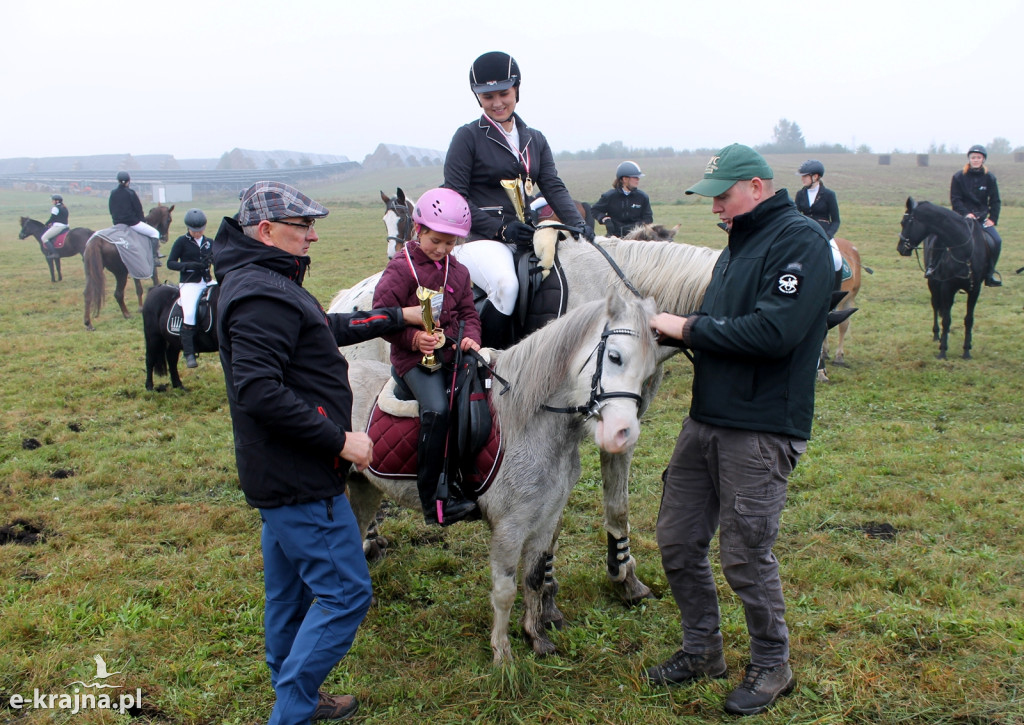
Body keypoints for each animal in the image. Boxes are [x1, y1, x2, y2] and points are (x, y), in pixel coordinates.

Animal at [897, 196, 991, 358]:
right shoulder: (947, 287)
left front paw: (966, 350)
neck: (964, 250)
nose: (900, 248)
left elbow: (969, 319)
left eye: (904, 222)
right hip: (933, 283)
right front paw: (942, 350)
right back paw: (937, 336)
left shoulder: (975, 289)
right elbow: (946, 319)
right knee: (935, 305)